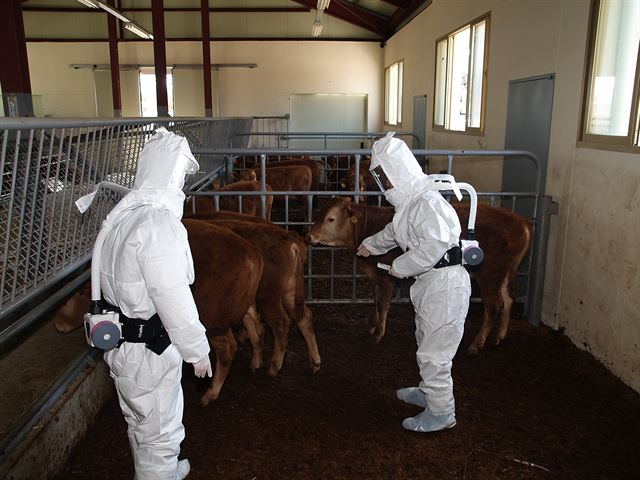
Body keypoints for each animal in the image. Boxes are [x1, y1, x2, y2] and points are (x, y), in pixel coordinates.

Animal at [52, 220, 264, 404]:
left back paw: (210, 393)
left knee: (228, 349)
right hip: (245, 303)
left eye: (65, 302)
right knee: (255, 326)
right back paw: (256, 361)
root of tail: (251, 253)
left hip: (213, 320)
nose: (58, 325)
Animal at [304, 197, 528, 354]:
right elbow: (376, 301)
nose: (308, 236)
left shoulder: (386, 278)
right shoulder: (377, 276)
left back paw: (476, 344)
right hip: (503, 273)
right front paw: (372, 327)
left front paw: (378, 334)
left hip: (489, 273)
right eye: (318, 215)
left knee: (493, 306)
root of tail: (520, 223)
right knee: (509, 300)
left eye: (331, 219)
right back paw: (499, 336)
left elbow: (382, 304)